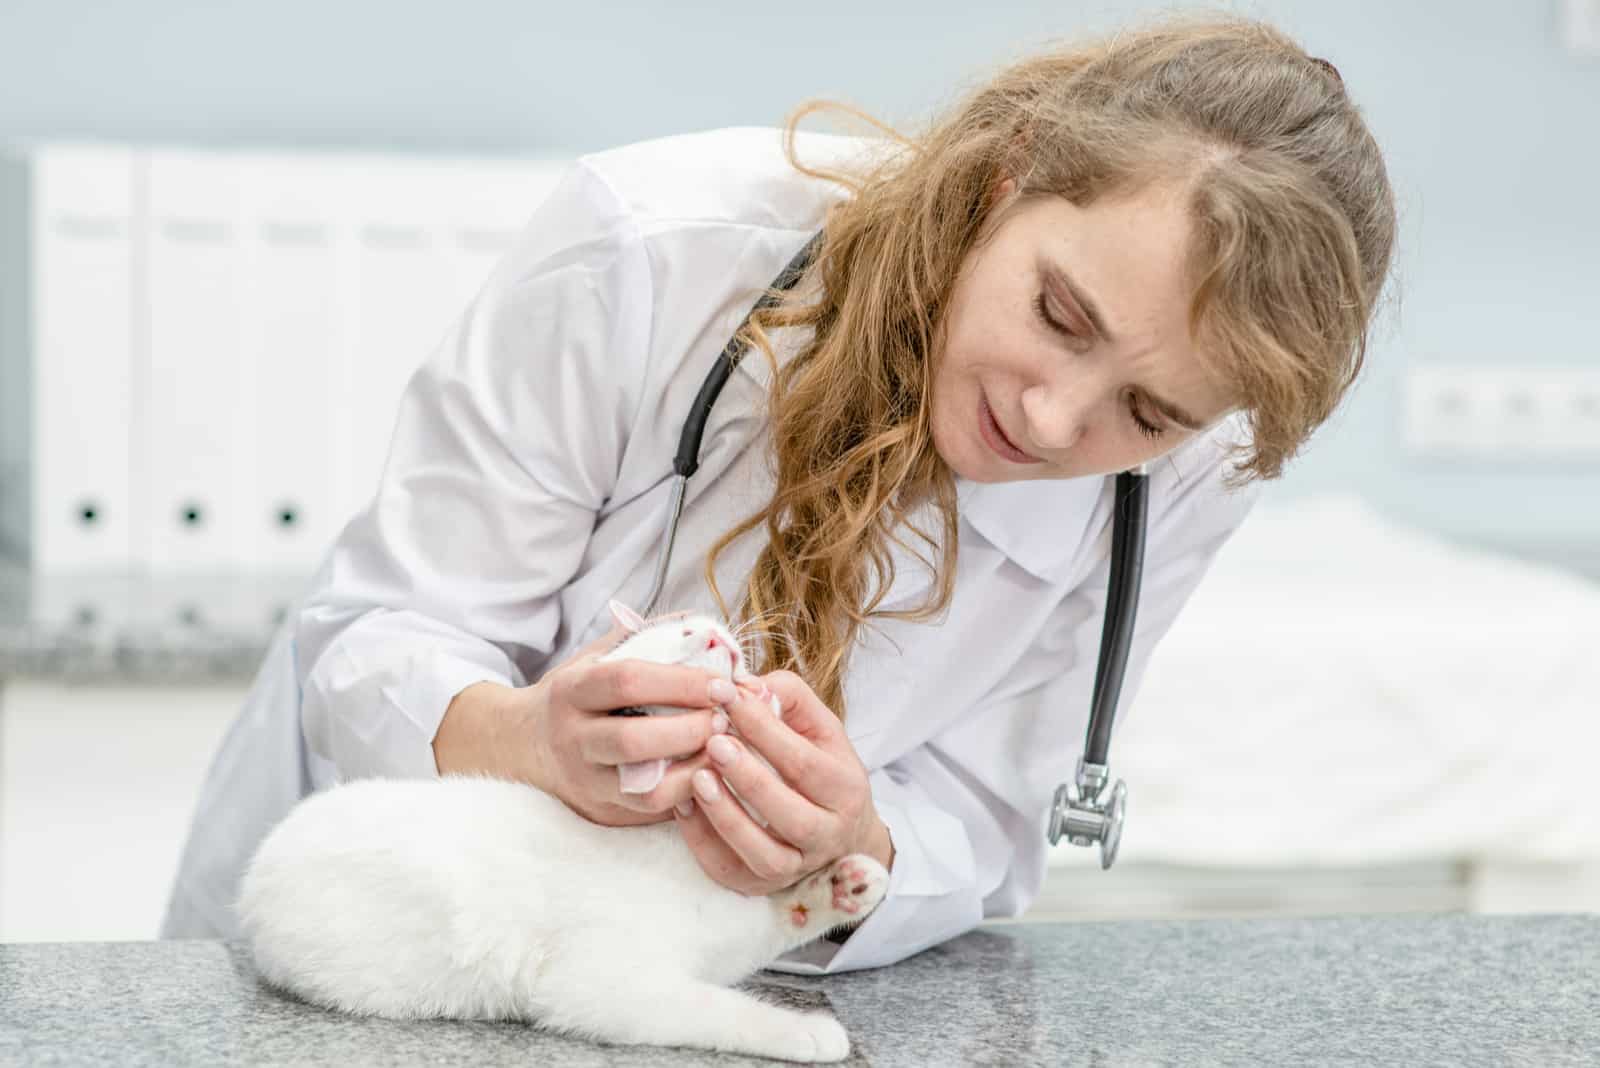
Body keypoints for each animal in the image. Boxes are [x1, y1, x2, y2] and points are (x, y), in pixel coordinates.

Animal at [236, 601, 889, 1061]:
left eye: (680, 631)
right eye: (676, 666)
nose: (707, 638)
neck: (680, 849)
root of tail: (255, 869)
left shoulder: (733, 930)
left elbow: (773, 923)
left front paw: (844, 886)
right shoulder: (598, 984)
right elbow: (718, 1008)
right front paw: (804, 1031)